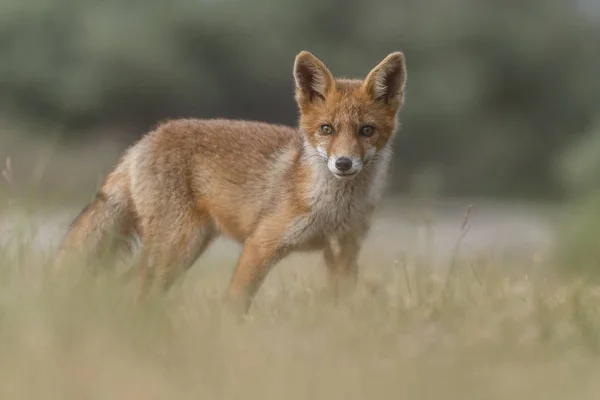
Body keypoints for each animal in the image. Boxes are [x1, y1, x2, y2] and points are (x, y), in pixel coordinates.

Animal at [55, 49, 408, 312]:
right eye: (327, 129)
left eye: (366, 131)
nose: (343, 163)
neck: (332, 209)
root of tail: (146, 138)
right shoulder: (260, 244)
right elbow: (235, 305)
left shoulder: (343, 252)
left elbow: (342, 307)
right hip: (177, 246)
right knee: (137, 293)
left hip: (184, 249)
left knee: (126, 287)